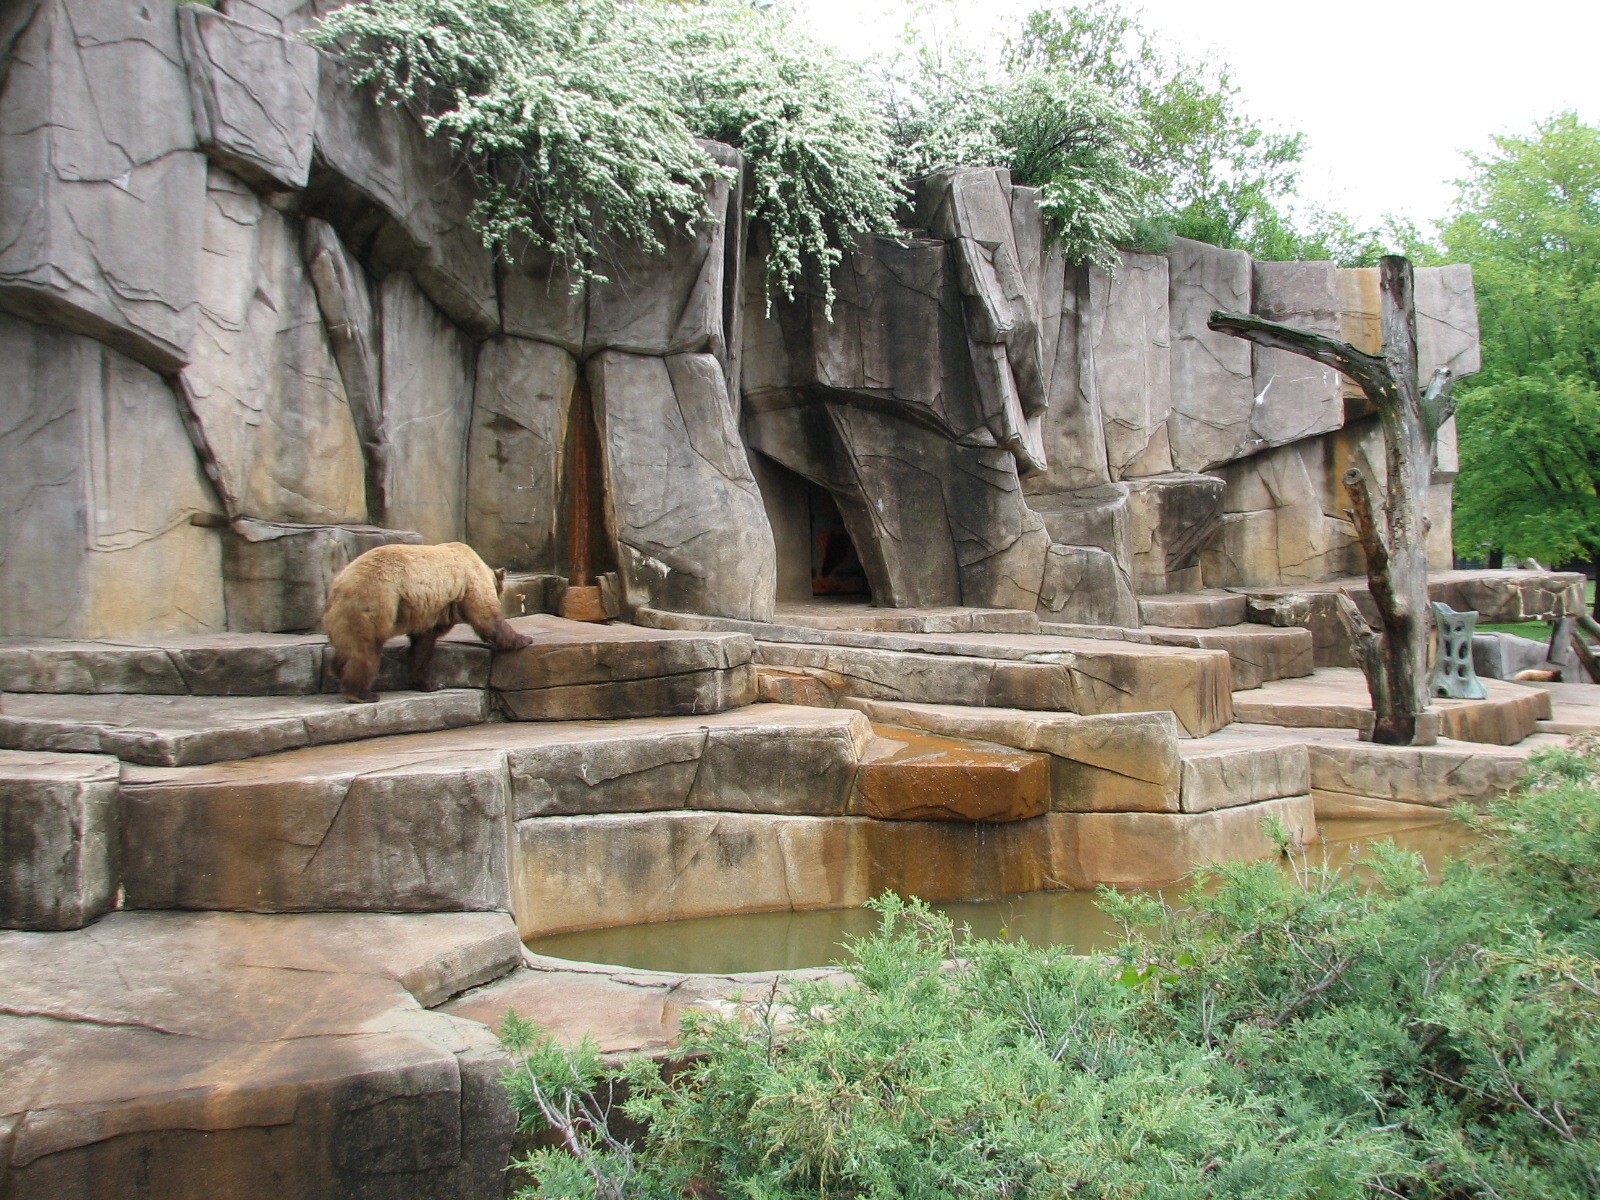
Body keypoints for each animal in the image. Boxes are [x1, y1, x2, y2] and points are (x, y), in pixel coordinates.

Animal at [323, 542, 534, 703]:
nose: (502, 596)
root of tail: (338, 584)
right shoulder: (470, 581)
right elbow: (486, 616)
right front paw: (524, 639)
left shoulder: (431, 610)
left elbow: (423, 645)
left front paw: (431, 684)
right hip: (374, 601)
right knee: (365, 650)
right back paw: (362, 694)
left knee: (348, 647)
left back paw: (336, 671)